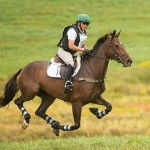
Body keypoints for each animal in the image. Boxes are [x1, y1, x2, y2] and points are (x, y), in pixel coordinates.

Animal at [0, 29, 132, 136]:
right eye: (116, 46)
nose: (129, 61)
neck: (91, 71)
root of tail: (24, 68)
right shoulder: (76, 103)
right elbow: (76, 125)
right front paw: (61, 127)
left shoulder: (95, 98)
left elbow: (109, 107)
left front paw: (95, 111)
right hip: (30, 92)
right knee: (18, 101)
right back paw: (27, 121)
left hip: (49, 96)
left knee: (40, 111)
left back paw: (54, 124)